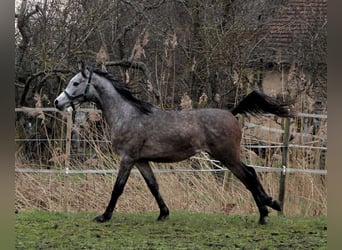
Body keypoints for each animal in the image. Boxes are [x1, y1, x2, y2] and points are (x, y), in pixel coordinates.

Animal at [54, 62, 292, 225]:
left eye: (75, 83)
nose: (58, 102)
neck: (127, 115)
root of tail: (231, 112)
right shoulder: (141, 160)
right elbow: (153, 186)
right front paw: (163, 214)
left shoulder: (127, 158)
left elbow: (118, 188)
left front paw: (104, 216)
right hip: (227, 157)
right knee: (250, 174)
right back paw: (267, 209)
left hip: (227, 156)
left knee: (249, 174)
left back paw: (267, 209)